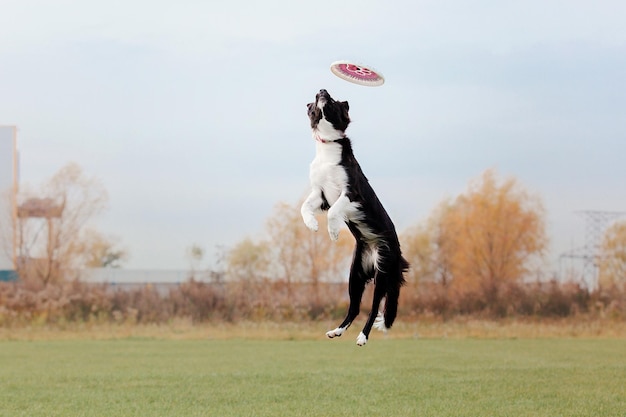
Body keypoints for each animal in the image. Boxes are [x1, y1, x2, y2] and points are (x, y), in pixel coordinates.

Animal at [300, 88, 408, 344]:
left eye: (331, 101)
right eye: (314, 102)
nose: (322, 90)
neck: (327, 148)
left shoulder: (351, 193)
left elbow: (334, 212)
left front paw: (333, 232)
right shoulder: (320, 195)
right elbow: (304, 207)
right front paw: (312, 225)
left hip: (383, 271)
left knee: (374, 308)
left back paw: (362, 337)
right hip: (355, 275)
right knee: (355, 307)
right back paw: (336, 331)